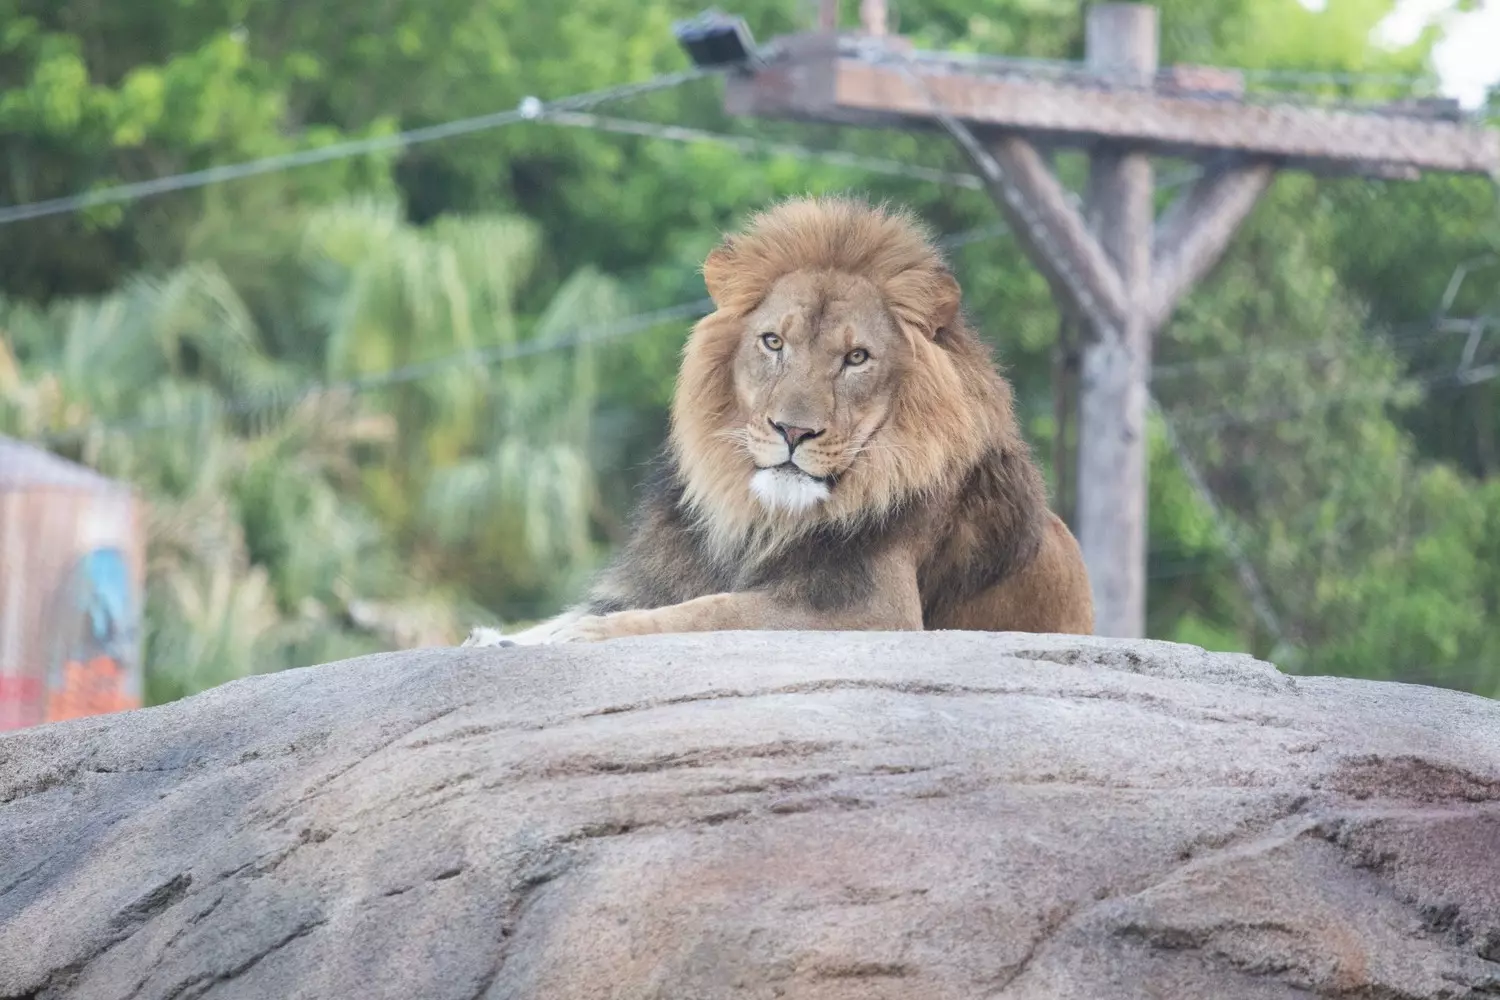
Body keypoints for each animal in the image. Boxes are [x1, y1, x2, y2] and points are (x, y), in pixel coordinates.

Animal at [463, 195, 1093, 647]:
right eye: (773, 342)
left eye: (856, 358)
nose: (793, 432)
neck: (762, 520)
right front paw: (503, 636)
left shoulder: (875, 611)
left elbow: (709, 612)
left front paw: (582, 633)